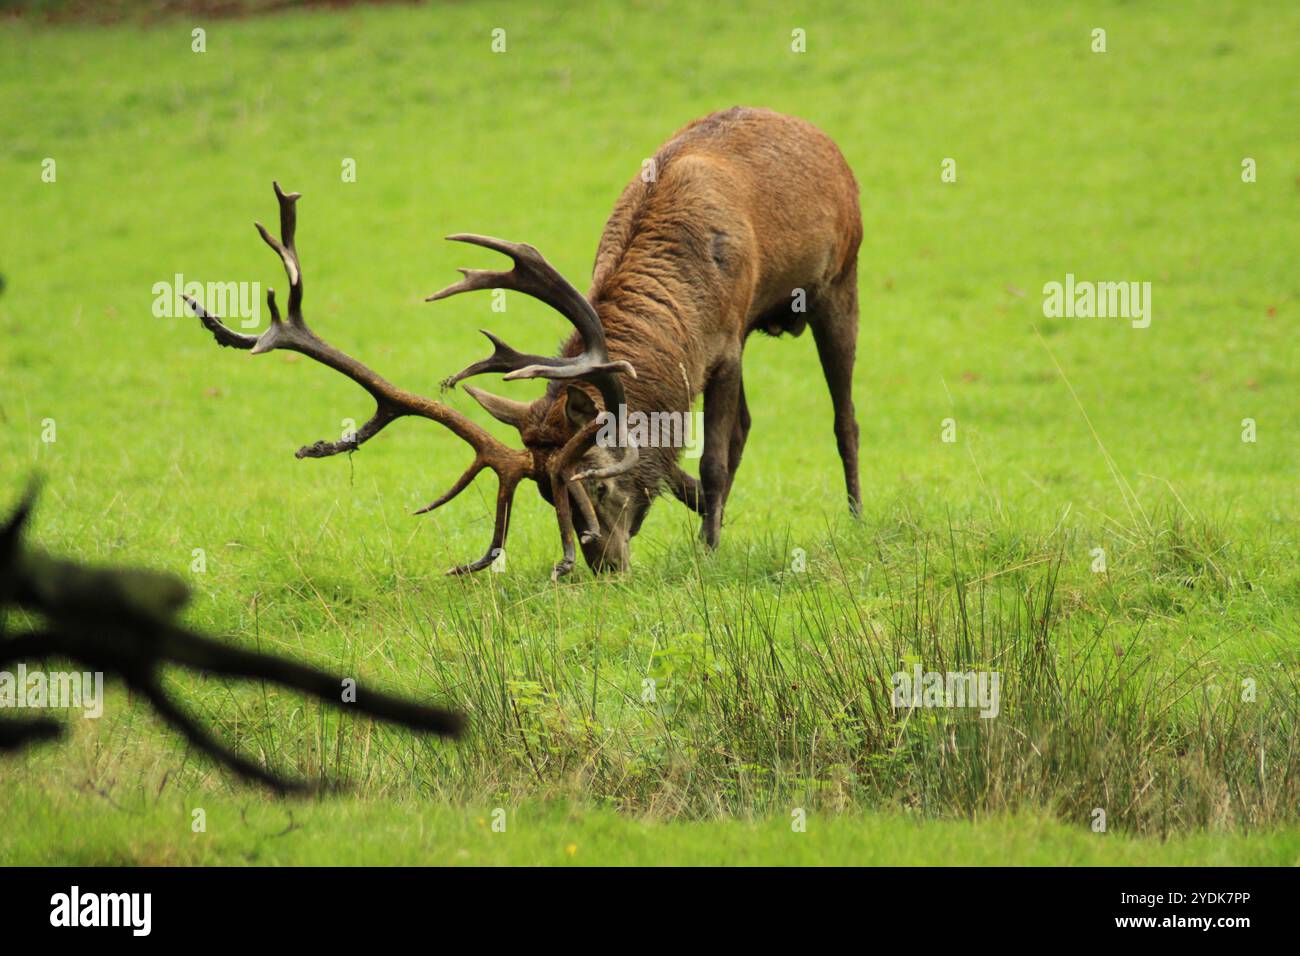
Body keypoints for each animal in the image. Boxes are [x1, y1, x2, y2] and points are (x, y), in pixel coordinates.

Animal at [180, 108, 852, 580]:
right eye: (546, 493)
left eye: (598, 483)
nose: (604, 566)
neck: (686, 308)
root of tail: (818, 133)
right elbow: (689, 466)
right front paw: (706, 526)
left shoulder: (728, 344)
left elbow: (713, 460)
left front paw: (709, 551)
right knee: (750, 427)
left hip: (842, 278)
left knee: (841, 416)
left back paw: (855, 515)